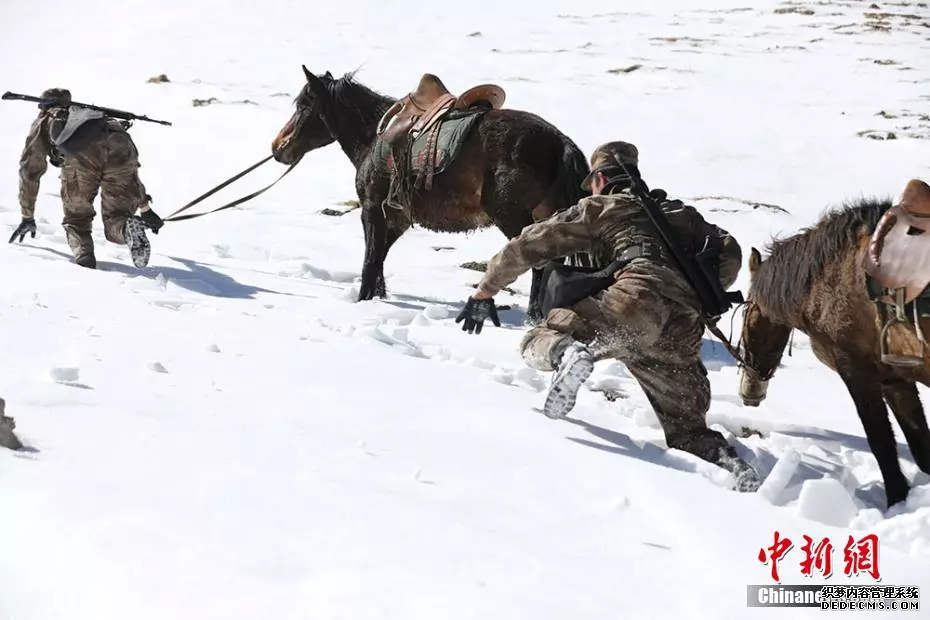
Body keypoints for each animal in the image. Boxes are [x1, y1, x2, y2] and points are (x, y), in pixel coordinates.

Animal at [270, 67, 588, 320]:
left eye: (303, 105)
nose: (278, 147)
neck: (373, 137)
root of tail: (560, 142)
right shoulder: (395, 218)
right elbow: (379, 259)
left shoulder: (372, 210)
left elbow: (370, 261)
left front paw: (363, 301)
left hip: (513, 218)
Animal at [736, 189, 928, 508]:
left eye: (745, 312)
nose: (750, 392)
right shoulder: (894, 379)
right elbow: (920, 441)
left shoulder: (856, 370)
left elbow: (881, 442)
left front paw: (897, 501)